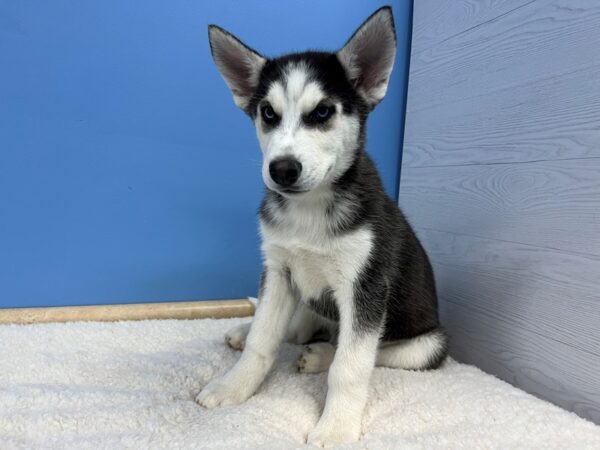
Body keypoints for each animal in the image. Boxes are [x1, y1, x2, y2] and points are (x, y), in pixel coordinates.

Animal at [197, 7, 446, 446]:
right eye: (267, 113)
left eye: (323, 112)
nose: (282, 169)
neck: (309, 211)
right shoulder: (279, 270)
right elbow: (263, 340)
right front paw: (234, 385)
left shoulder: (365, 287)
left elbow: (352, 366)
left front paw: (337, 427)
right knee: (295, 328)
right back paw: (250, 331)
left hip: (429, 345)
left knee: (371, 351)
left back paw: (320, 356)